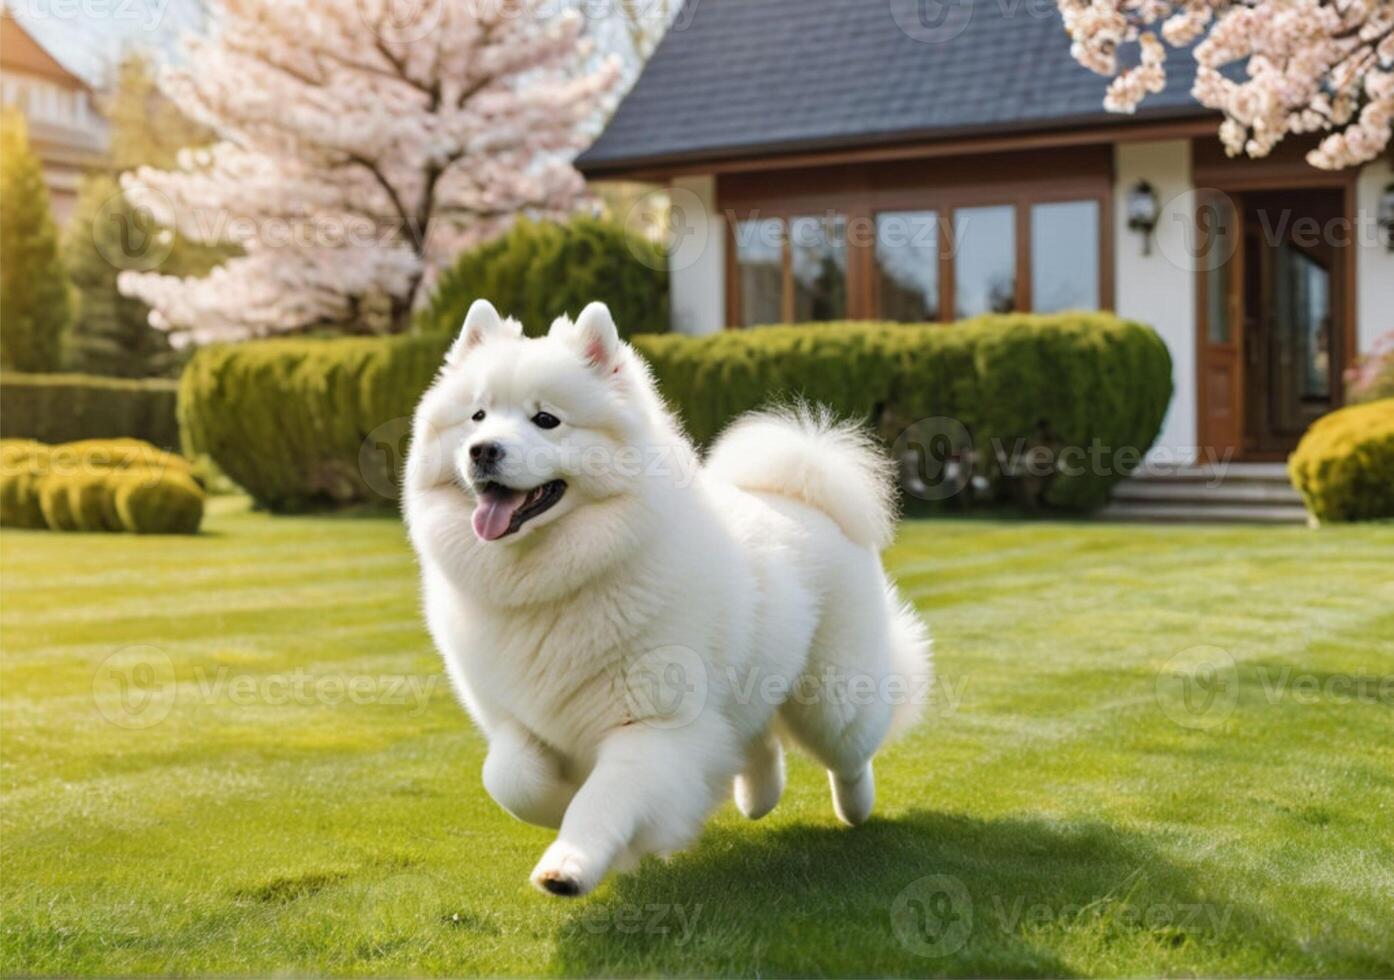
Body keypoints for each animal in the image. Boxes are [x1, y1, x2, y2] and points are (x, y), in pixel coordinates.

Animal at [398, 298, 931, 897]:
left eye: (546, 420)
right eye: (478, 416)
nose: (483, 451)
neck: (554, 584)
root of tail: (803, 492)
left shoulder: (652, 725)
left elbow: (604, 798)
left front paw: (571, 862)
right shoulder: (515, 718)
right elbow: (509, 780)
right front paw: (560, 804)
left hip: (830, 697)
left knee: (851, 752)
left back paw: (855, 810)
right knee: (757, 740)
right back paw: (759, 798)